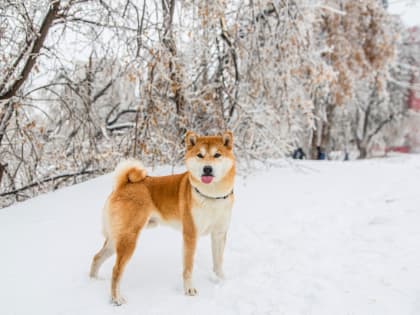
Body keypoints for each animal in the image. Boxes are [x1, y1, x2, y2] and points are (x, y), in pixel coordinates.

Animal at [90, 131, 235, 306]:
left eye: (217, 155)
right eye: (200, 155)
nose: (207, 168)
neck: (211, 196)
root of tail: (123, 184)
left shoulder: (219, 234)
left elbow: (218, 263)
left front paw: (223, 282)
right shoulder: (190, 235)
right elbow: (188, 268)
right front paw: (189, 290)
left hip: (116, 239)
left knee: (97, 257)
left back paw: (93, 281)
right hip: (128, 239)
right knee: (116, 270)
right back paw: (116, 298)